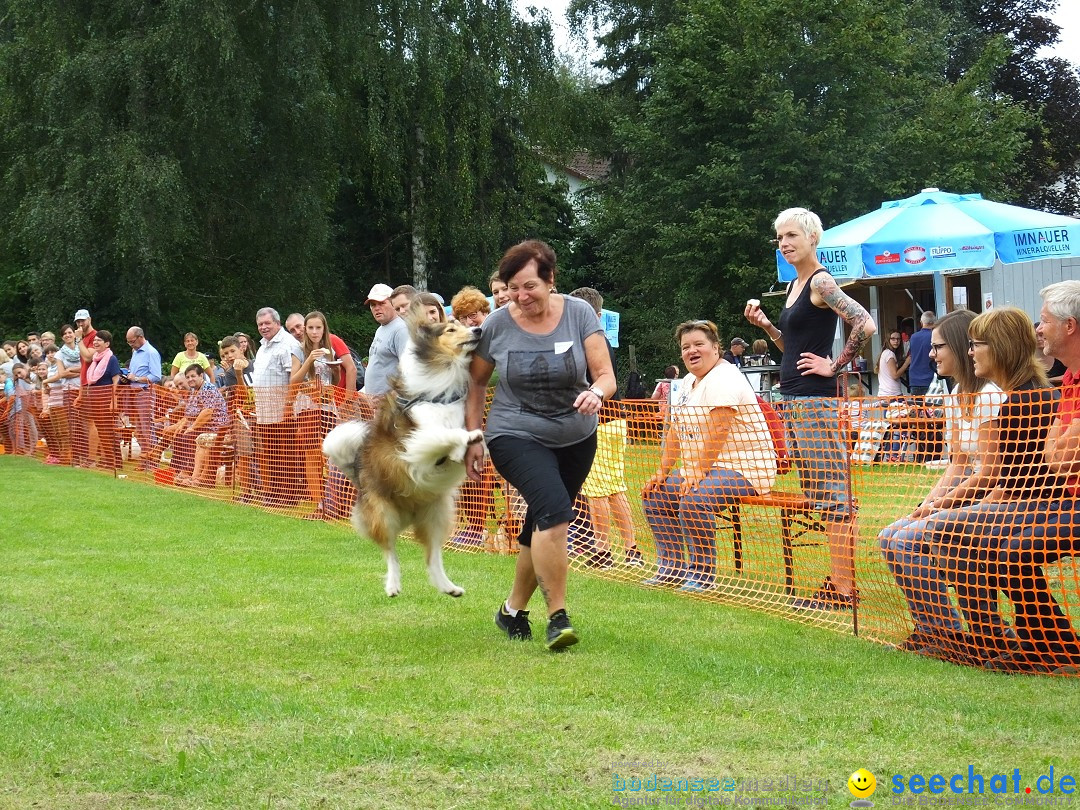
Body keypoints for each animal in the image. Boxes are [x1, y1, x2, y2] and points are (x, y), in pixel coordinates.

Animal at [321, 317, 483, 596]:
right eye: (450, 329)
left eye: (463, 324)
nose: (478, 329)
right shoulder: (415, 443)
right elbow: (444, 434)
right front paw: (467, 437)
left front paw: (464, 446)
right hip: (383, 515)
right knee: (391, 552)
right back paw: (393, 585)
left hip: (437, 513)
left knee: (432, 556)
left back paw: (449, 587)